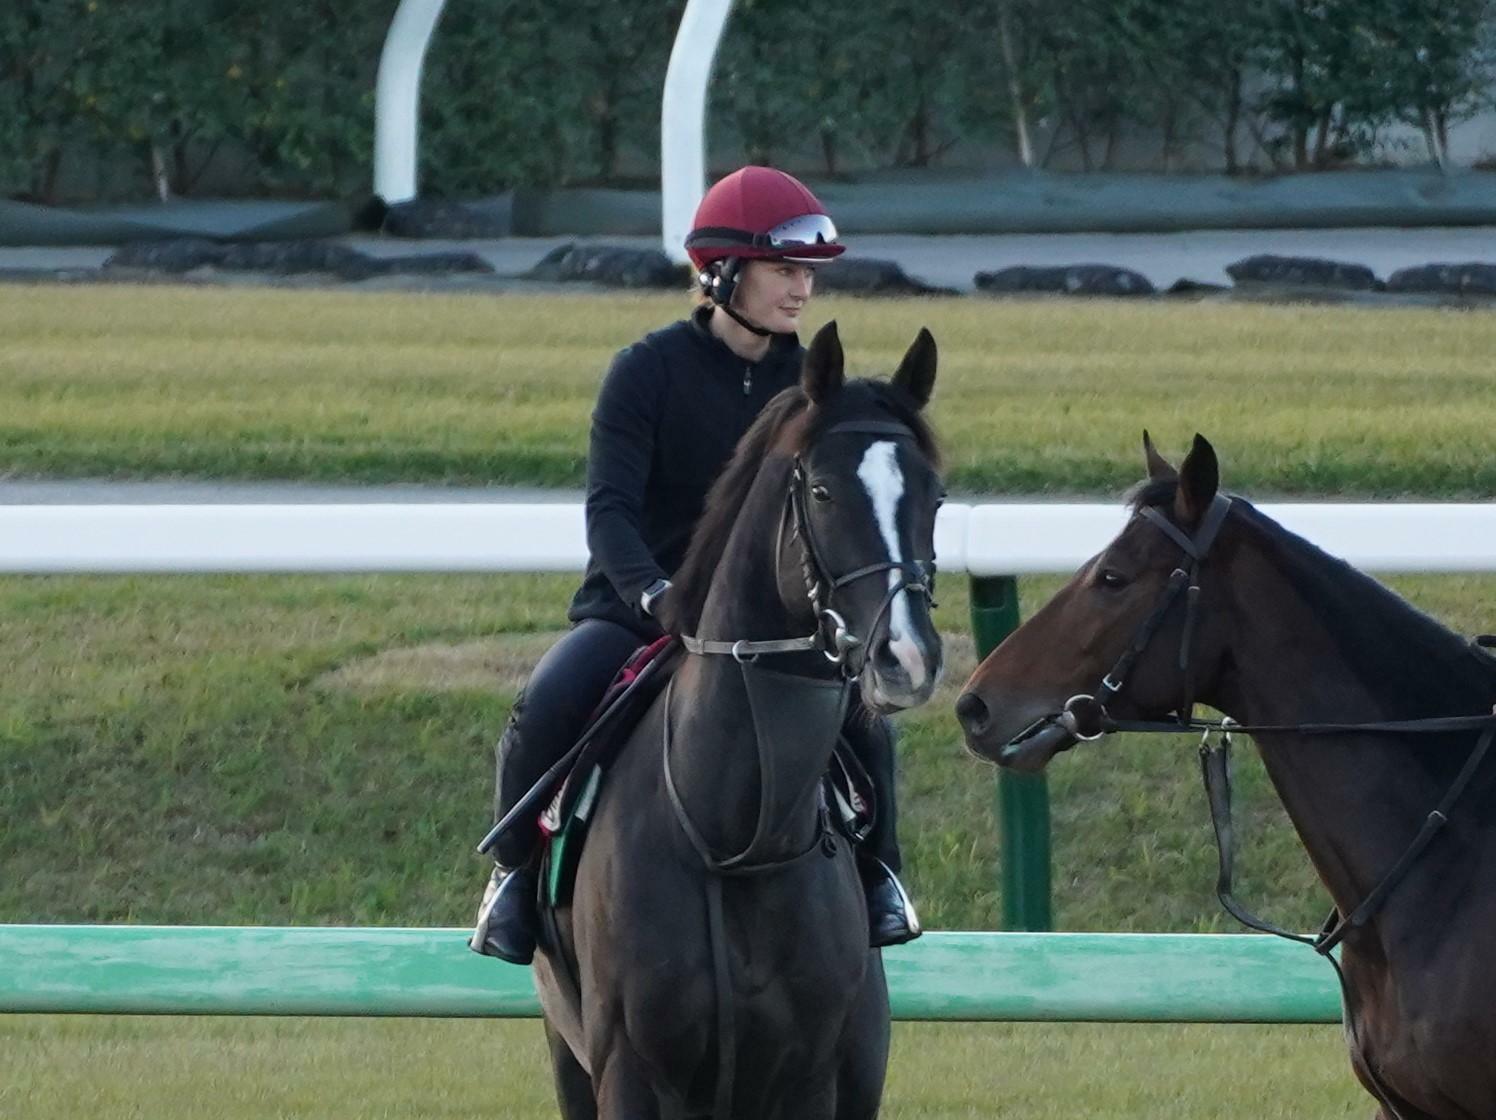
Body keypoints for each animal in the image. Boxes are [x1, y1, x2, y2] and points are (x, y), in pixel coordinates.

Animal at [532, 318, 939, 1112]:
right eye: (822, 492)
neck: (731, 838)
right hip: (569, 1058)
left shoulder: (808, 1074)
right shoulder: (626, 1066)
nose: (906, 656)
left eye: (934, 497)